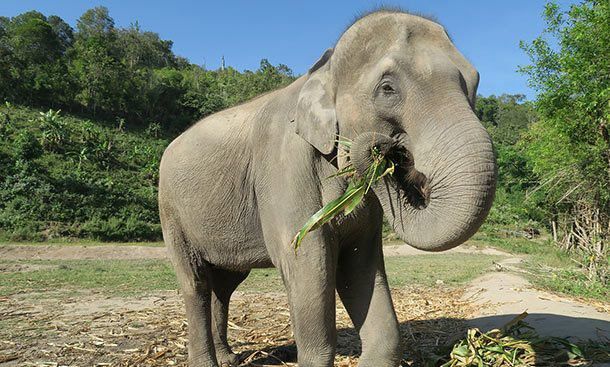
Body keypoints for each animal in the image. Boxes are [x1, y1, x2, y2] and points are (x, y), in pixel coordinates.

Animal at [159, 8, 496, 367]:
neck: (323, 68)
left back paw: (229, 359)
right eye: (387, 88)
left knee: (225, 284)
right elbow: (307, 261)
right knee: (195, 283)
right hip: (171, 212)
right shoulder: (284, 166)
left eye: (474, 83)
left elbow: (359, 266)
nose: (383, 150)